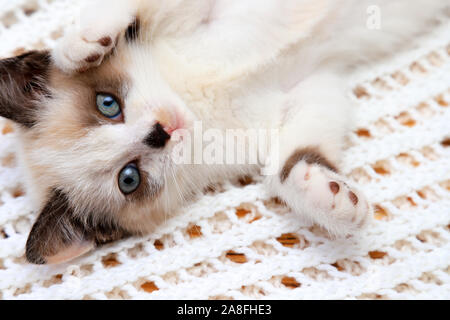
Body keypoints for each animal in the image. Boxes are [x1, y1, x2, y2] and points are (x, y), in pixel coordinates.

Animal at [0, 0, 446, 264]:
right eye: (129, 178)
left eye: (107, 104)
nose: (160, 131)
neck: (192, 96)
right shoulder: (306, 90)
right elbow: (287, 164)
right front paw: (328, 196)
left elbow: (127, 8)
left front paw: (81, 45)